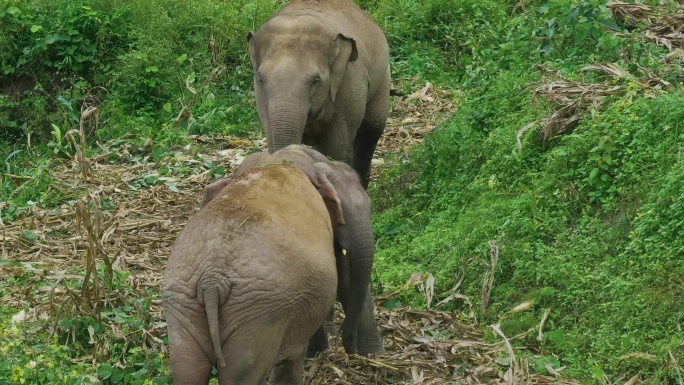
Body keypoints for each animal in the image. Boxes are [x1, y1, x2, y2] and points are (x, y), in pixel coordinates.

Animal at [250, 0, 390, 188]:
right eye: (260, 79)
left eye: (315, 81)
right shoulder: (261, 99)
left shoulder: (350, 84)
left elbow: (337, 148)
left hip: (383, 79)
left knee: (371, 129)